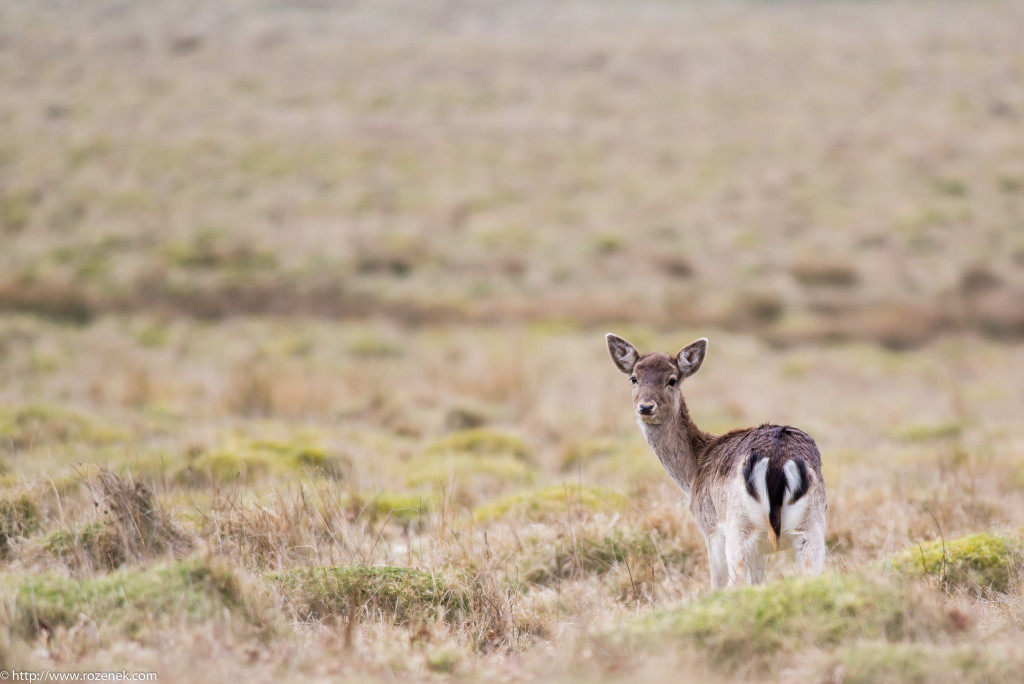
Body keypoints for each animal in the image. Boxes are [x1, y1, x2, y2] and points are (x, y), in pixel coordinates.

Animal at [602, 333, 827, 589]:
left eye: (672, 380)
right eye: (634, 378)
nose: (646, 407)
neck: (693, 473)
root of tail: (778, 462)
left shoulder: (709, 527)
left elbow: (717, 583)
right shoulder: (760, 549)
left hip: (739, 527)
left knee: (735, 581)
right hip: (812, 526)